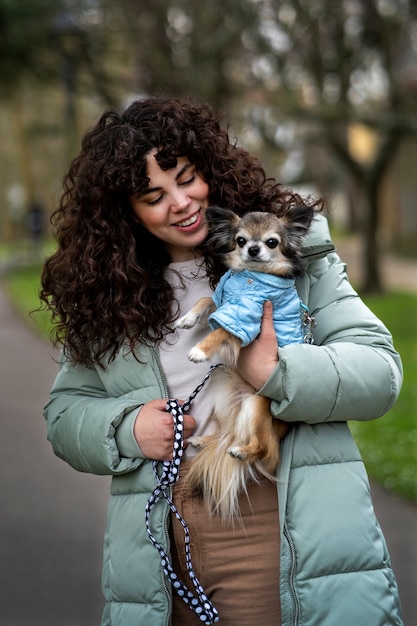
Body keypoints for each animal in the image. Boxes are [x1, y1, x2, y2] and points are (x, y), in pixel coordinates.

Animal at [174, 204, 314, 516]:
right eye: (240, 240)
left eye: (271, 242)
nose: (252, 248)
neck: (250, 278)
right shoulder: (225, 301)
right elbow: (206, 300)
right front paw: (187, 319)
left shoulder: (247, 319)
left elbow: (222, 330)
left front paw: (200, 350)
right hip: (221, 397)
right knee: (228, 433)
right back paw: (204, 439)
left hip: (254, 405)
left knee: (264, 449)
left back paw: (242, 451)